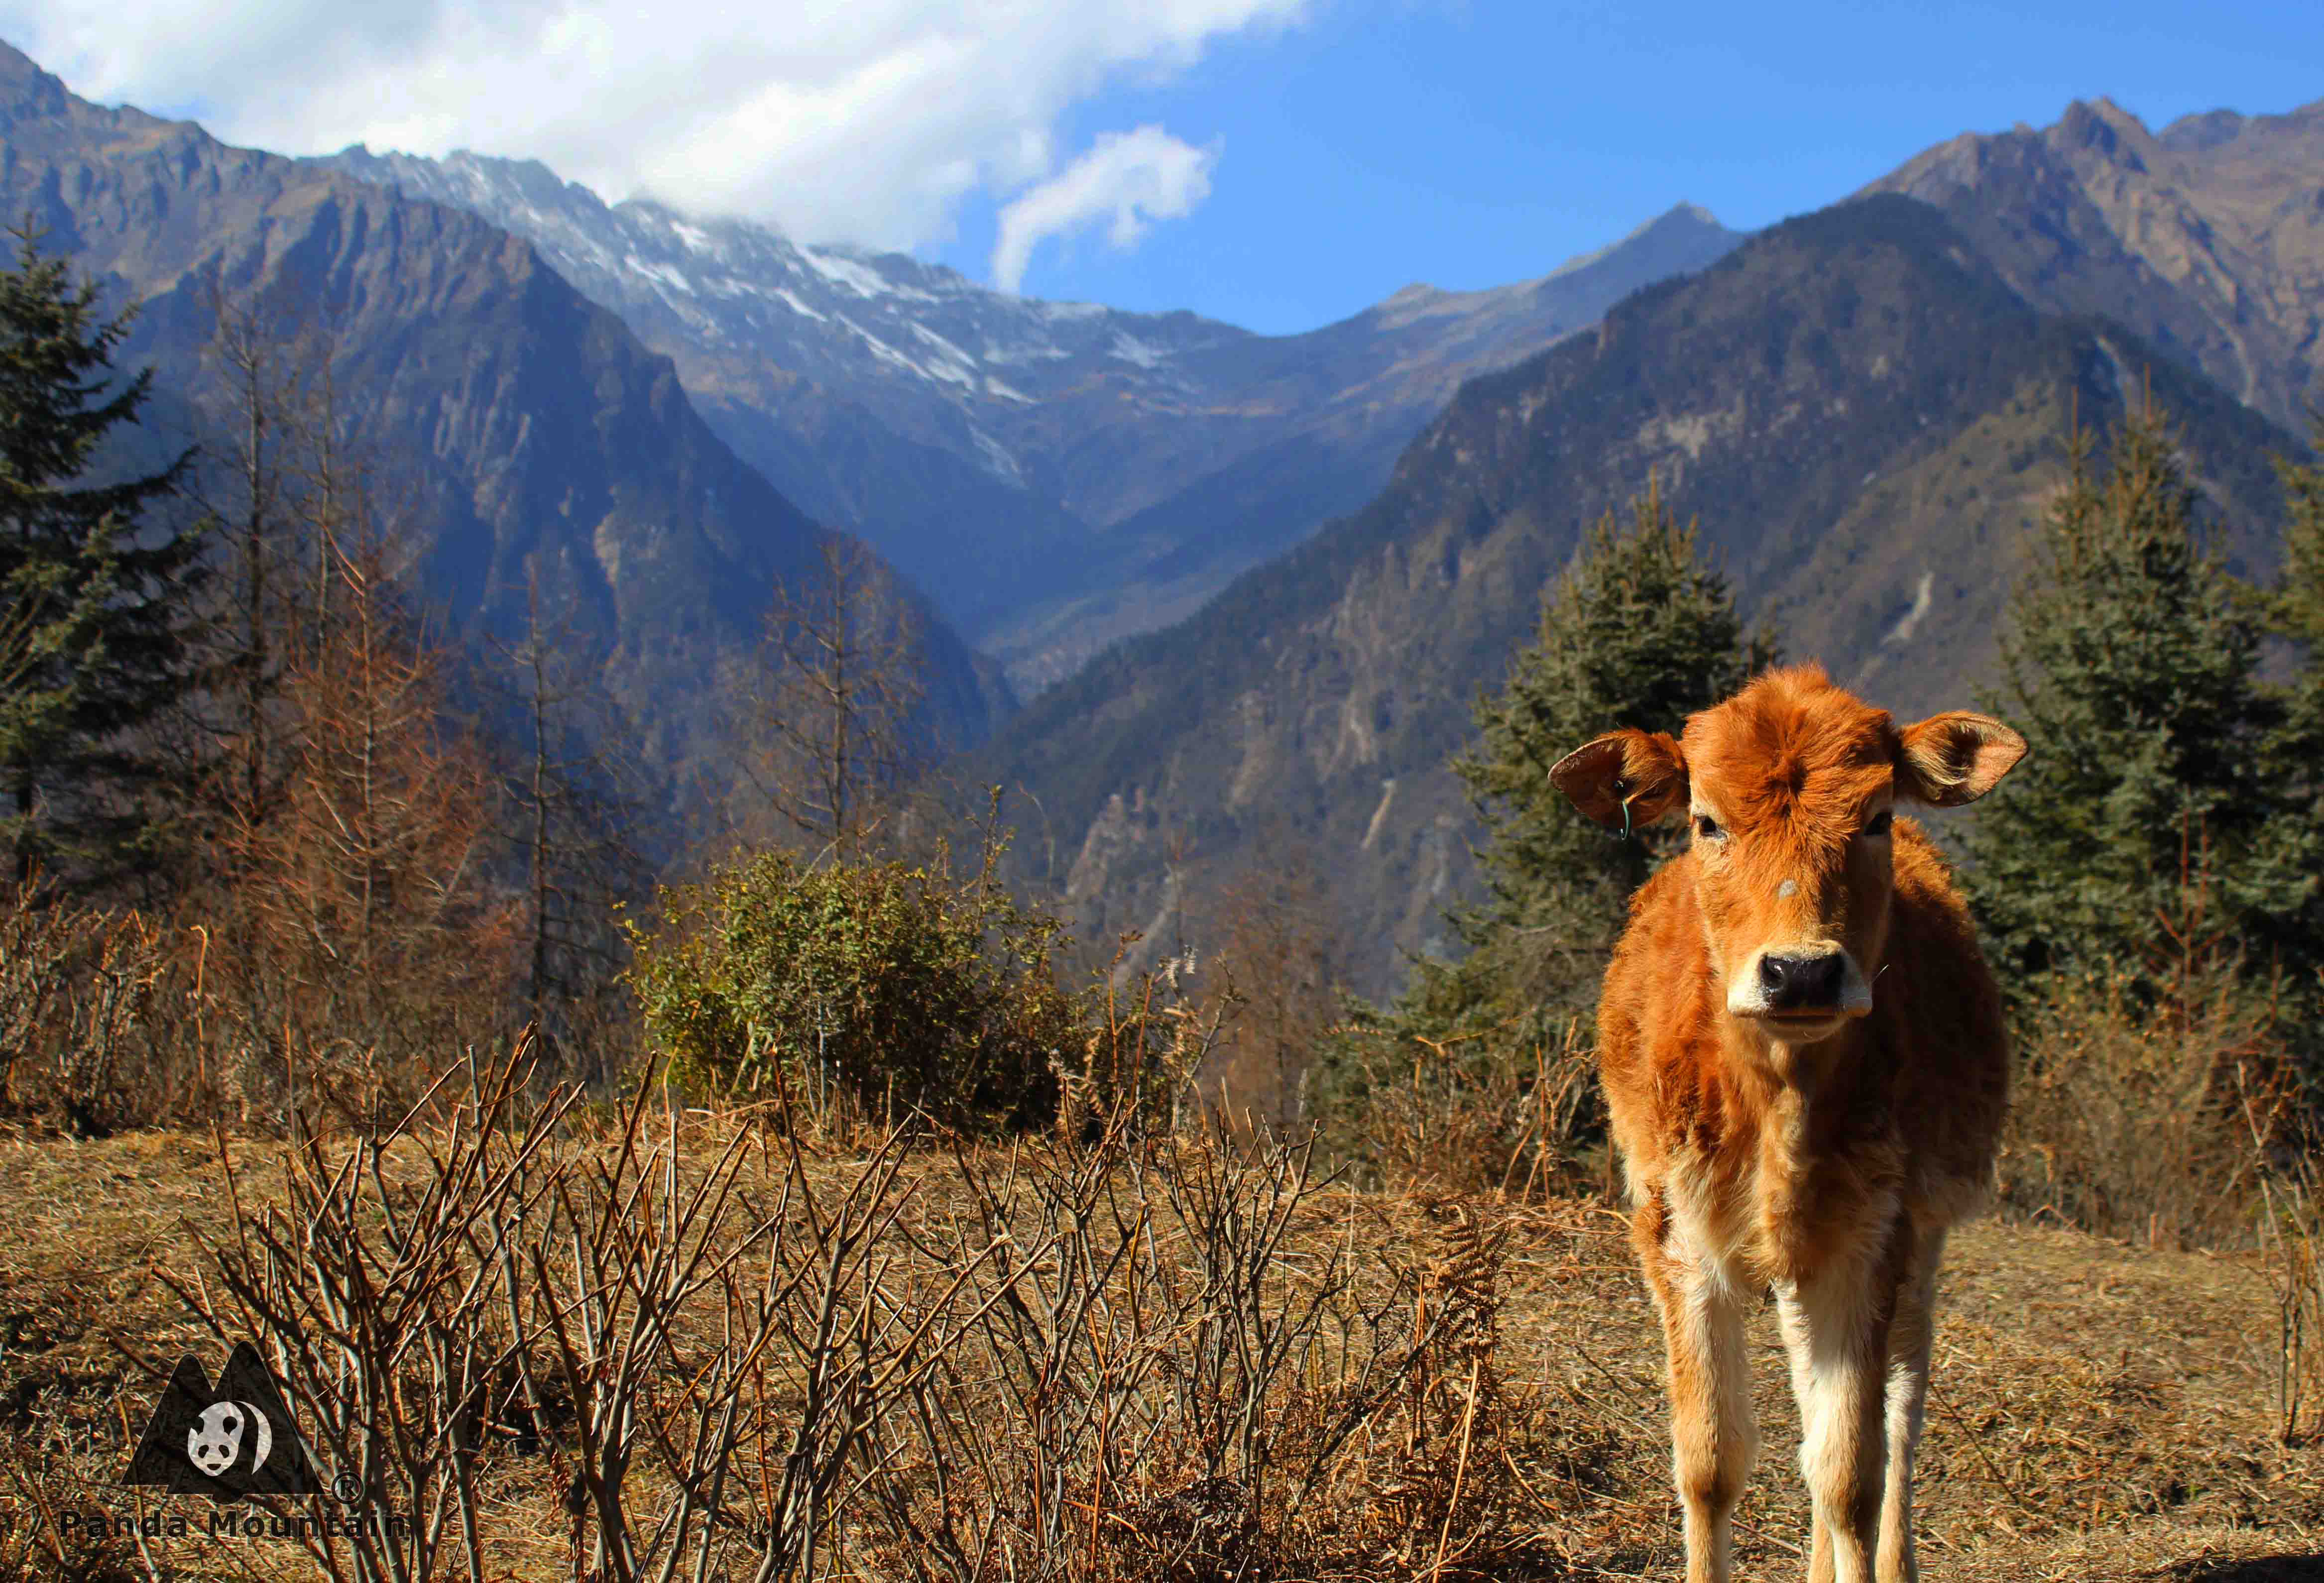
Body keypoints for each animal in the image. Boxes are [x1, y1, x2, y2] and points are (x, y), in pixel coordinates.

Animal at [1552, 665, 2026, 1581]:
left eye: (1875, 818)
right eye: (1706, 821)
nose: (1800, 973)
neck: (1780, 1110)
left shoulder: (1874, 1236)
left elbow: (1851, 1472)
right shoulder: (1678, 1234)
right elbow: (1710, 1462)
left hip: (1920, 1238)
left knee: (1897, 1410)